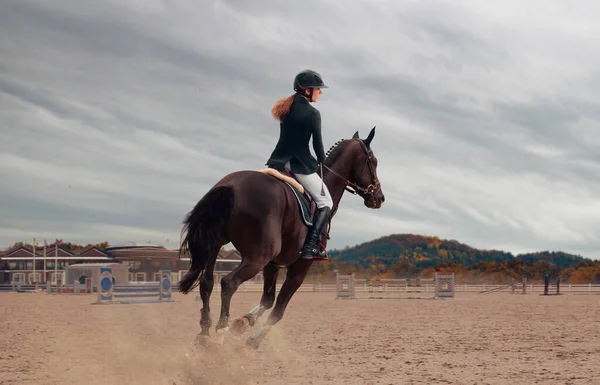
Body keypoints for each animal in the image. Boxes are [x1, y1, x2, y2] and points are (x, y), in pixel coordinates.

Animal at [177, 126, 384, 348]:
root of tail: (230, 185)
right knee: (228, 283)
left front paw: (243, 322)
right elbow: (278, 310)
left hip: (216, 245)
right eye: (373, 161)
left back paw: (204, 333)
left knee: (207, 282)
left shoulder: (273, 264)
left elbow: (268, 299)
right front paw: (252, 341)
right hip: (257, 257)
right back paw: (220, 332)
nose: (380, 198)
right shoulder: (300, 266)